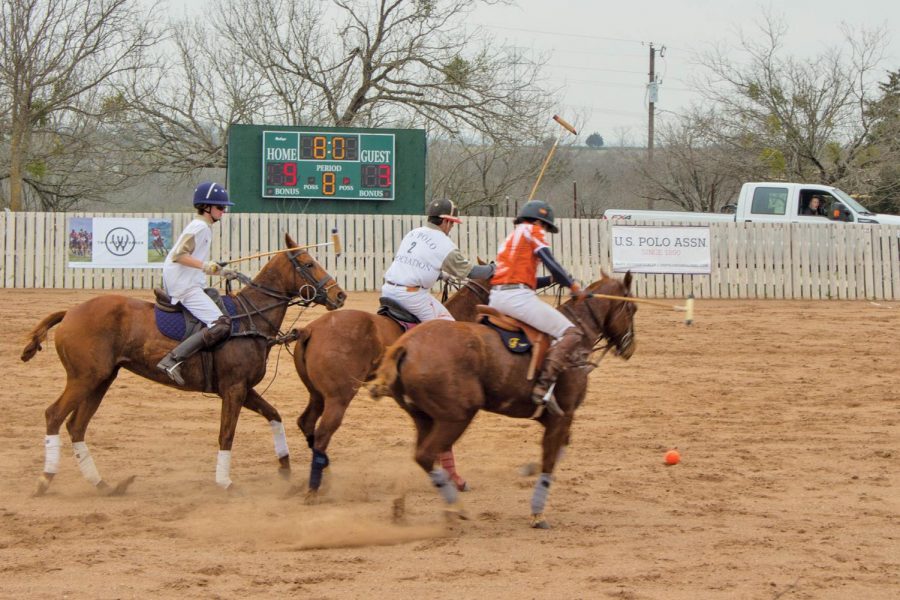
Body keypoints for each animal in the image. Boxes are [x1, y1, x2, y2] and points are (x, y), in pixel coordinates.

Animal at [22, 234, 344, 496]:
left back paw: (103, 485)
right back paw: (45, 479)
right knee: (54, 415)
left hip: (102, 378)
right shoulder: (233, 389)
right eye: (309, 263)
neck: (251, 318)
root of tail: (69, 312)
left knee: (76, 426)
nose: (339, 295)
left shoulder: (242, 389)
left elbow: (274, 416)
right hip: (84, 377)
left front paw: (285, 471)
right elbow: (226, 434)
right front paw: (225, 483)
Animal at [294, 274, 492, 494]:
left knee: (307, 423)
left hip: (317, 395)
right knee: (323, 434)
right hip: (338, 398)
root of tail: (309, 330)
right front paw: (455, 480)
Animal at [370, 274, 636, 528]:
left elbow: (559, 449)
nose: (629, 348)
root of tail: (404, 347)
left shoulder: (552, 416)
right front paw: (537, 514)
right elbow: (550, 458)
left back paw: (406, 504)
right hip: (457, 415)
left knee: (423, 454)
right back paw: (455, 506)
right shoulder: (564, 414)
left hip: (424, 417)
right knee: (427, 454)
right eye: (632, 308)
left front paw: (528, 470)